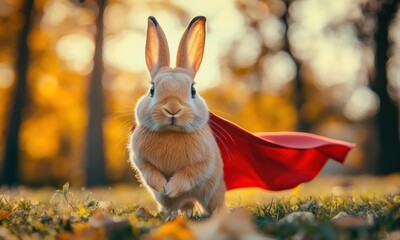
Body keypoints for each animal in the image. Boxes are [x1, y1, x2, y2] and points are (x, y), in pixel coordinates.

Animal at [130, 16, 227, 216]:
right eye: (152, 90)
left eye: (193, 91)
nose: (172, 108)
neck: (171, 132)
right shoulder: (140, 159)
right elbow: (149, 171)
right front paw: (162, 186)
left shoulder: (204, 163)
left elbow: (189, 174)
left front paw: (171, 187)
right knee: (177, 206)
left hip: (213, 193)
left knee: (214, 204)